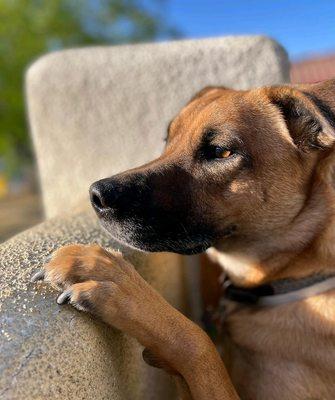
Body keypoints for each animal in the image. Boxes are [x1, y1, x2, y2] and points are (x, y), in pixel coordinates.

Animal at [32, 79, 335, 400]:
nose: (96, 195)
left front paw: (118, 282)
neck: (299, 274)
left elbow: (198, 343)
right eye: (168, 139)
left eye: (220, 151)